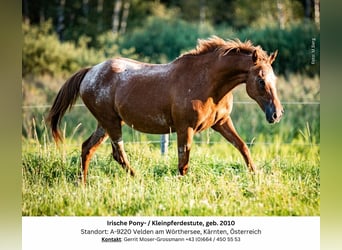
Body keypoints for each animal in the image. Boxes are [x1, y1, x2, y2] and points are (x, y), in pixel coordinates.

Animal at [47, 36, 284, 184]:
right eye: (261, 81)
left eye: (274, 79)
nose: (276, 114)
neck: (208, 83)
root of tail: (90, 72)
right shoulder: (185, 128)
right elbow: (183, 161)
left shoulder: (221, 123)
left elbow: (243, 147)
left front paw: (256, 176)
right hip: (111, 123)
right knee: (118, 153)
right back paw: (138, 179)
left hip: (105, 123)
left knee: (87, 148)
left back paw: (83, 184)